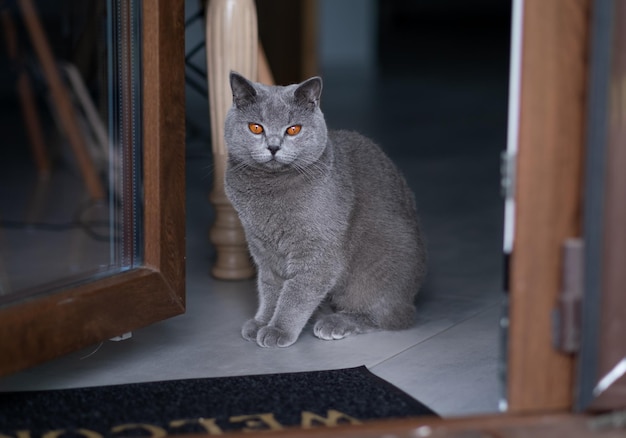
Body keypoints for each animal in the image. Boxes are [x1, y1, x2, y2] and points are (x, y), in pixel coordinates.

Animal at [223, 72, 424, 348]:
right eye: (256, 127)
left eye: (293, 129)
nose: (273, 147)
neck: (268, 190)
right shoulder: (262, 247)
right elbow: (270, 287)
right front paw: (262, 322)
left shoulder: (318, 250)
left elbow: (296, 292)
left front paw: (278, 329)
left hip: (380, 263)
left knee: (388, 316)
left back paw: (336, 323)